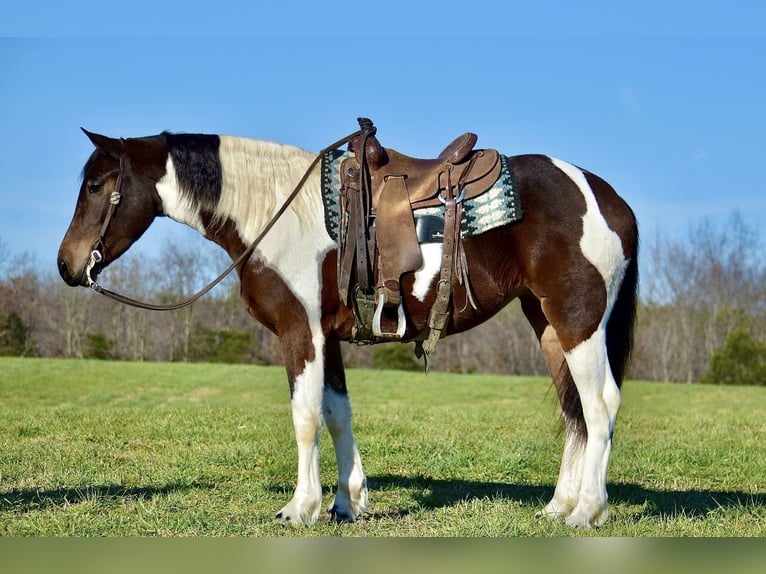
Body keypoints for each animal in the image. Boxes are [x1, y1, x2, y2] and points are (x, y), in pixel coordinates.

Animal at [57, 126, 640, 532]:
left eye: (96, 185)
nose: (66, 266)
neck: (276, 212)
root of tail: (609, 198)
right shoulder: (328, 339)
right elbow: (338, 415)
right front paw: (347, 501)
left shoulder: (301, 333)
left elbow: (306, 418)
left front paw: (300, 507)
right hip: (548, 325)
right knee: (574, 411)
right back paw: (558, 506)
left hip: (578, 320)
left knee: (600, 405)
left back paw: (587, 511)